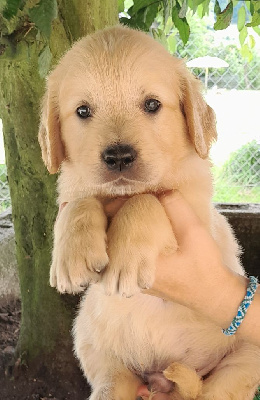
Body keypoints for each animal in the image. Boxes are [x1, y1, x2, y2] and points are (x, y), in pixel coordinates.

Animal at [38, 25, 260, 400]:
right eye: (82, 111)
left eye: (152, 104)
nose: (118, 157)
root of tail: (162, 379)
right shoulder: (72, 190)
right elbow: (80, 203)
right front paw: (70, 257)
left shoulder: (196, 210)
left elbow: (148, 201)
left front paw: (125, 257)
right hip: (92, 341)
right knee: (113, 381)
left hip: (246, 355)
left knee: (214, 390)